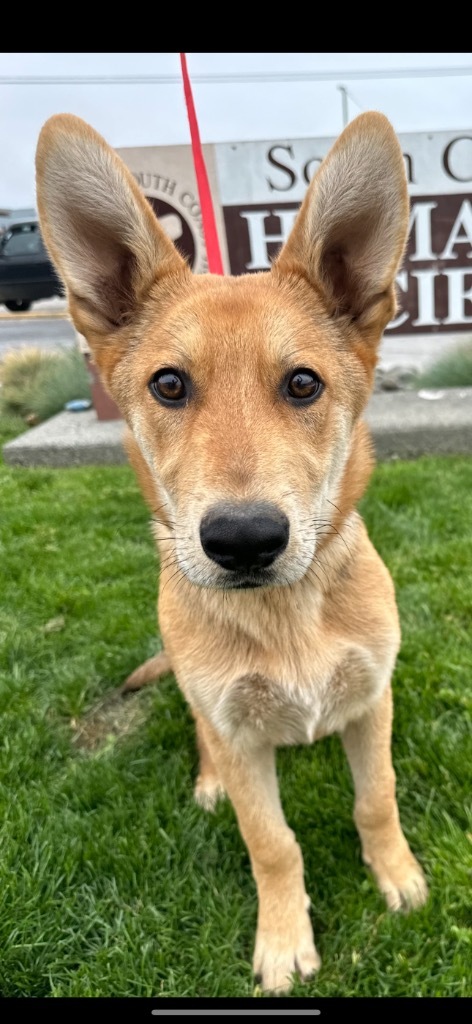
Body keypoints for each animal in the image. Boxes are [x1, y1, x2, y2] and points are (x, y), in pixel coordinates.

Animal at [35, 112, 425, 991]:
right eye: (169, 385)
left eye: (304, 384)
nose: (244, 540)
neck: (287, 616)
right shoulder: (244, 740)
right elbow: (271, 842)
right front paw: (283, 940)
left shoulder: (373, 700)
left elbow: (376, 795)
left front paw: (398, 876)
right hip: (200, 697)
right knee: (202, 731)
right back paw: (209, 781)